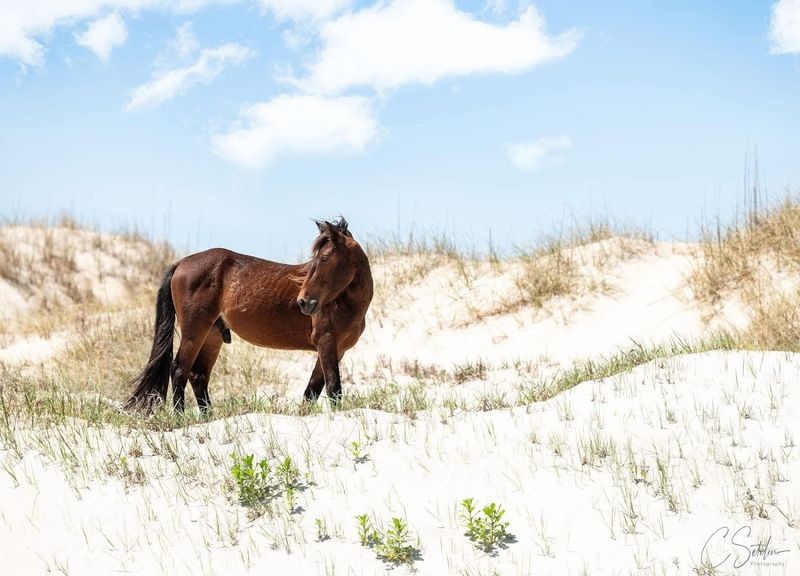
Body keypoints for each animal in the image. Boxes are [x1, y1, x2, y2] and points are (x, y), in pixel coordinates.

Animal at [124, 217, 373, 413]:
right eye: (317, 259)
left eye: (325, 259)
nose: (303, 302)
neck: (344, 301)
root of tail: (181, 263)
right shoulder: (326, 342)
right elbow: (333, 388)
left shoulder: (336, 349)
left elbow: (313, 390)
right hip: (195, 331)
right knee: (179, 370)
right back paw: (180, 417)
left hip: (213, 336)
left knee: (198, 375)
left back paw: (207, 417)